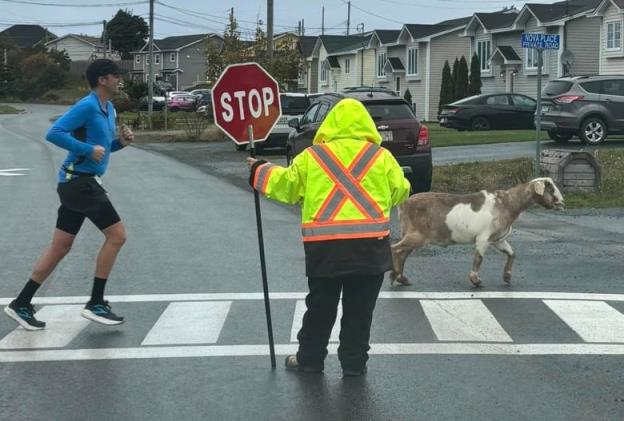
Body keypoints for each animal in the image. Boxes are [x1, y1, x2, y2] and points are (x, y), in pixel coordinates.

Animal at [390, 176, 564, 288]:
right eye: (550, 188)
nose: (562, 202)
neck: (508, 204)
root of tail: (403, 204)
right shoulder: (483, 237)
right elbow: (479, 258)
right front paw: (476, 280)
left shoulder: (497, 239)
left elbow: (512, 253)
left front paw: (507, 276)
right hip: (416, 235)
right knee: (395, 249)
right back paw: (394, 275)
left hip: (412, 234)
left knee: (402, 253)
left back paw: (402, 278)